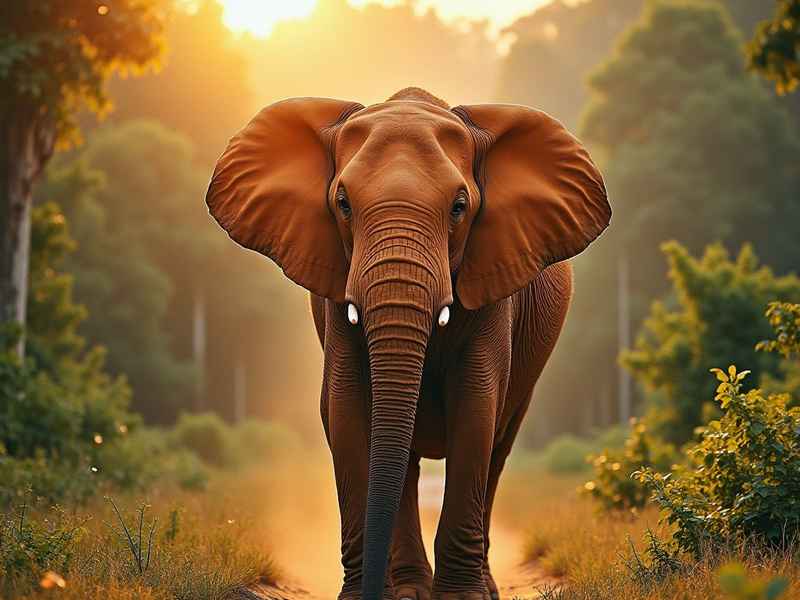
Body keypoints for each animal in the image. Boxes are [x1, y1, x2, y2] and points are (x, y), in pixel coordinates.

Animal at [205, 87, 610, 600]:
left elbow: (476, 408)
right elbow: (347, 407)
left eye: (459, 207)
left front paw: (461, 598)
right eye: (343, 204)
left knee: (497, 450)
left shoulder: (492, 282)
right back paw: (411, 589)